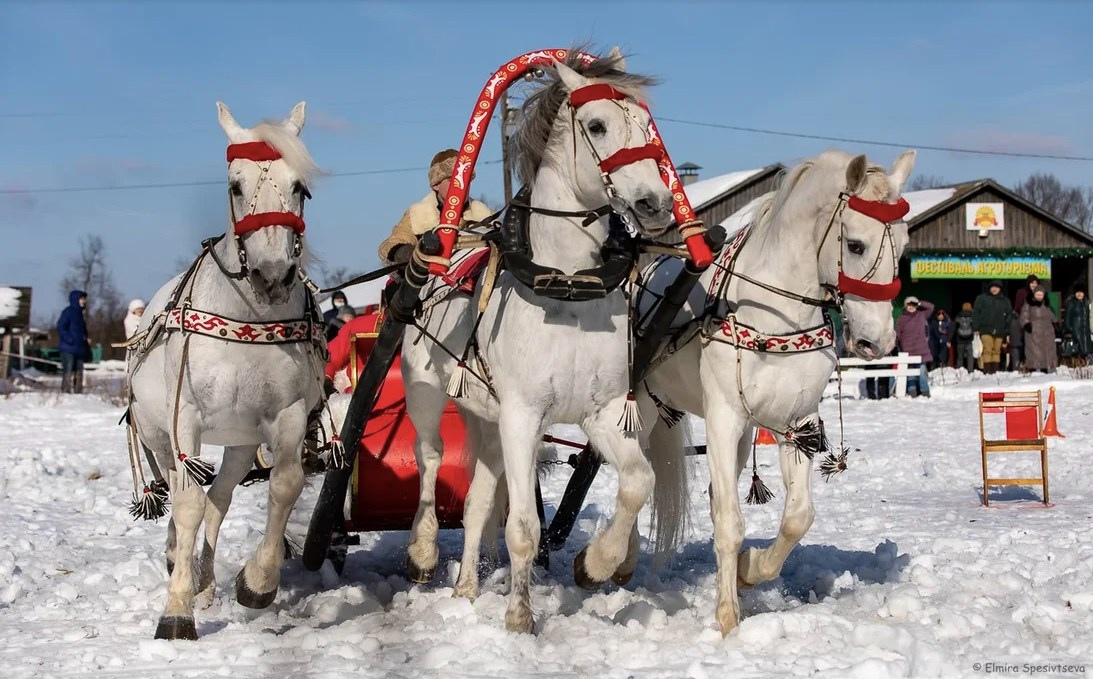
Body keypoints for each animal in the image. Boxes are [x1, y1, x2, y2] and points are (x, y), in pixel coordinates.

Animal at [128, 99, 323, 634]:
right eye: (236, 185)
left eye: (300, 187)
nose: (272, 275)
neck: (247, 318)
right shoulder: (185, 419)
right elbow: (187, 502)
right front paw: (176, 610)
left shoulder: (287, 415)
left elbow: (285, 485)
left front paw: (256, 582)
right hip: (157, 434)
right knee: (181, 495)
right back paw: (177, 560)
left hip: (237, 442)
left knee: (219, 501)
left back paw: (206, 581)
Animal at [400, 50, 673, 634]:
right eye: (597, 125)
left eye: (647, 126)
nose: (655, 202)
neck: (566, 286)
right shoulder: (523, 415)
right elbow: (523, 526)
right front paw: (520, 616)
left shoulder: (600, 411)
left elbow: (637, 481)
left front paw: (596, 564)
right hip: (429, 397)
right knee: (430, 459)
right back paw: (424, 552)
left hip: (485, 423)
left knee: (477, 503)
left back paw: (465, 590)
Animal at [638, 149, 913, 634]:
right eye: (856, 246)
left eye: (904, 245)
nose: (876, 342)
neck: (774, 316)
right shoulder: (723, 418)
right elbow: (730, 522)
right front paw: (728, 619)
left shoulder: (796, 422)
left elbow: (797, 517)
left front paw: (749, 572)